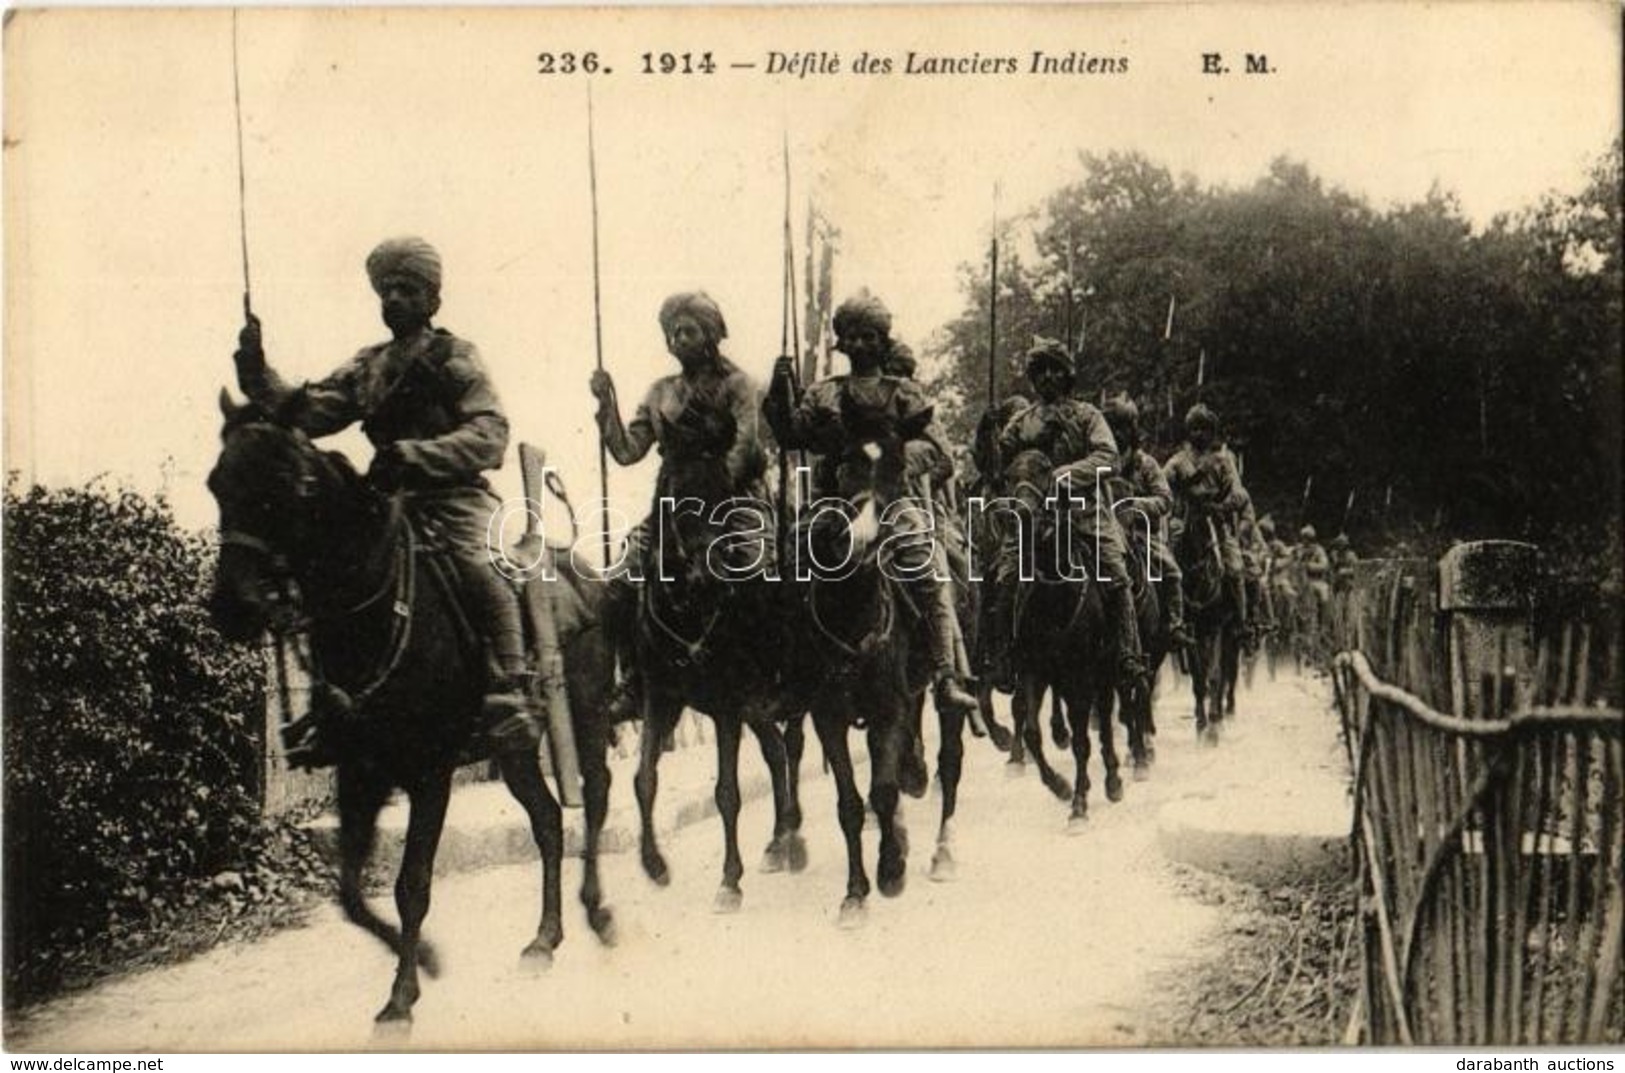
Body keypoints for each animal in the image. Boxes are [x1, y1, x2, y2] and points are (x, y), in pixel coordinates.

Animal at [212, 393, 617, 1020]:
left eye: (287, 485)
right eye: (217, 483)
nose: (231, 606)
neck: (377, 611)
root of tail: (585, 573)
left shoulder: (430, 774)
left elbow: (412, 883)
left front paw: (401, 998)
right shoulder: (360, 772)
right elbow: (351, 892)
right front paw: (426, 959)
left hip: (589, 713)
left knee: (594, 797)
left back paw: (596, 910)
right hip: (514, 748)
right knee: (549, 821)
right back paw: (544, 939)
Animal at [627, 451, 806, 916]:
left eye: (727, 491)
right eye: (679, 498)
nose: (710, 575)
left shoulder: (728, 706)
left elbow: (726, 792)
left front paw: (729, 882)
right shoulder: (661, 697)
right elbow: (644, 779)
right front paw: (654, 866)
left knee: (793, 748)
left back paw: (794, 836)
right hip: (757, 709)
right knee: (776, 752)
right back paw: (778, 843)